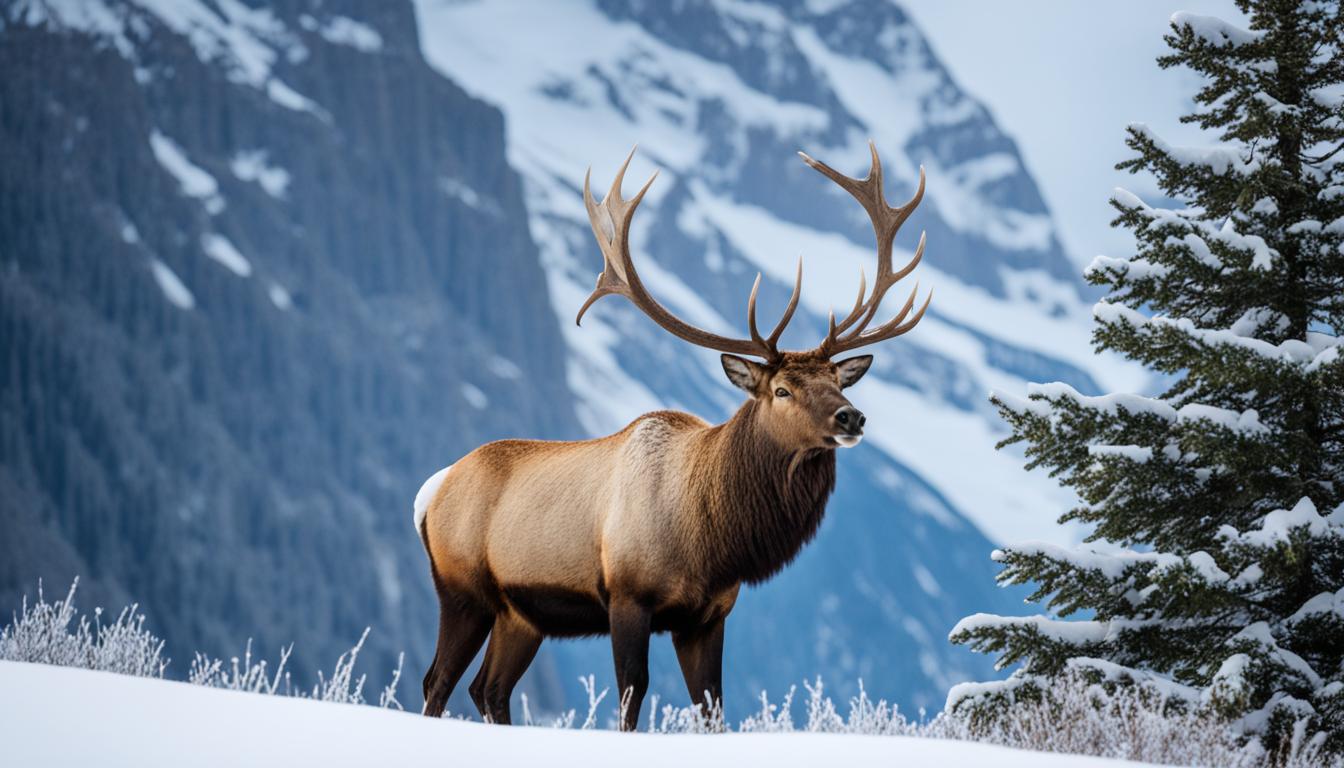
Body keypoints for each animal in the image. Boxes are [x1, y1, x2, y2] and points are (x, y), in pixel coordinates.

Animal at [413, 142, 930, 726]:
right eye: (781, 390)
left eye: (836, 381)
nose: (852, 417)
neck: (713, 539)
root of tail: (430, 490)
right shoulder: (627, 596)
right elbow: (631, 696)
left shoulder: (708, 614)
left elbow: (712, 705)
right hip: (461, 589)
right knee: (438, 680)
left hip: (520, 613)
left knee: (490, 688)